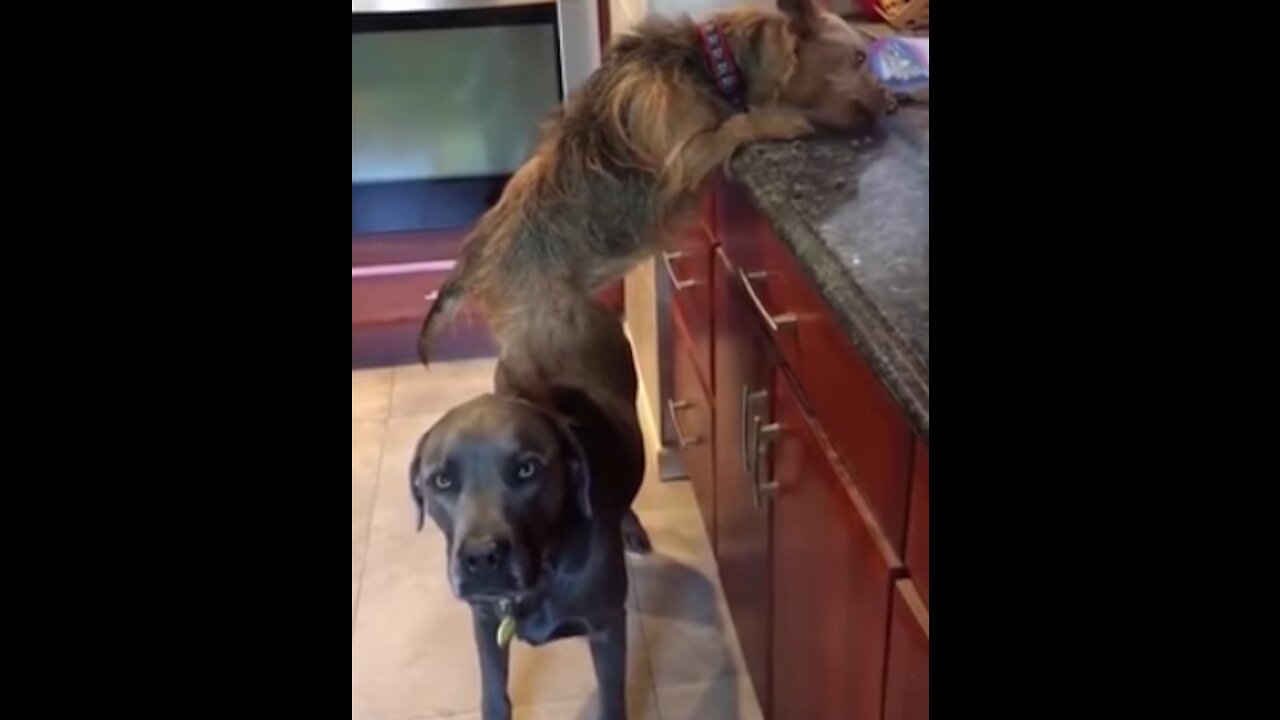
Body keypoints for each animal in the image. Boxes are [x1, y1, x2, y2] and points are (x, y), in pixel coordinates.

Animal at [419, 1, 890, 381]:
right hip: (542, 324)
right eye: (859, 57)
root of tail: (476, 260)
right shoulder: (687, 155)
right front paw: (781, 119)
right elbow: (737, 123)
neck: (715, 64)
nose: (890, 102)